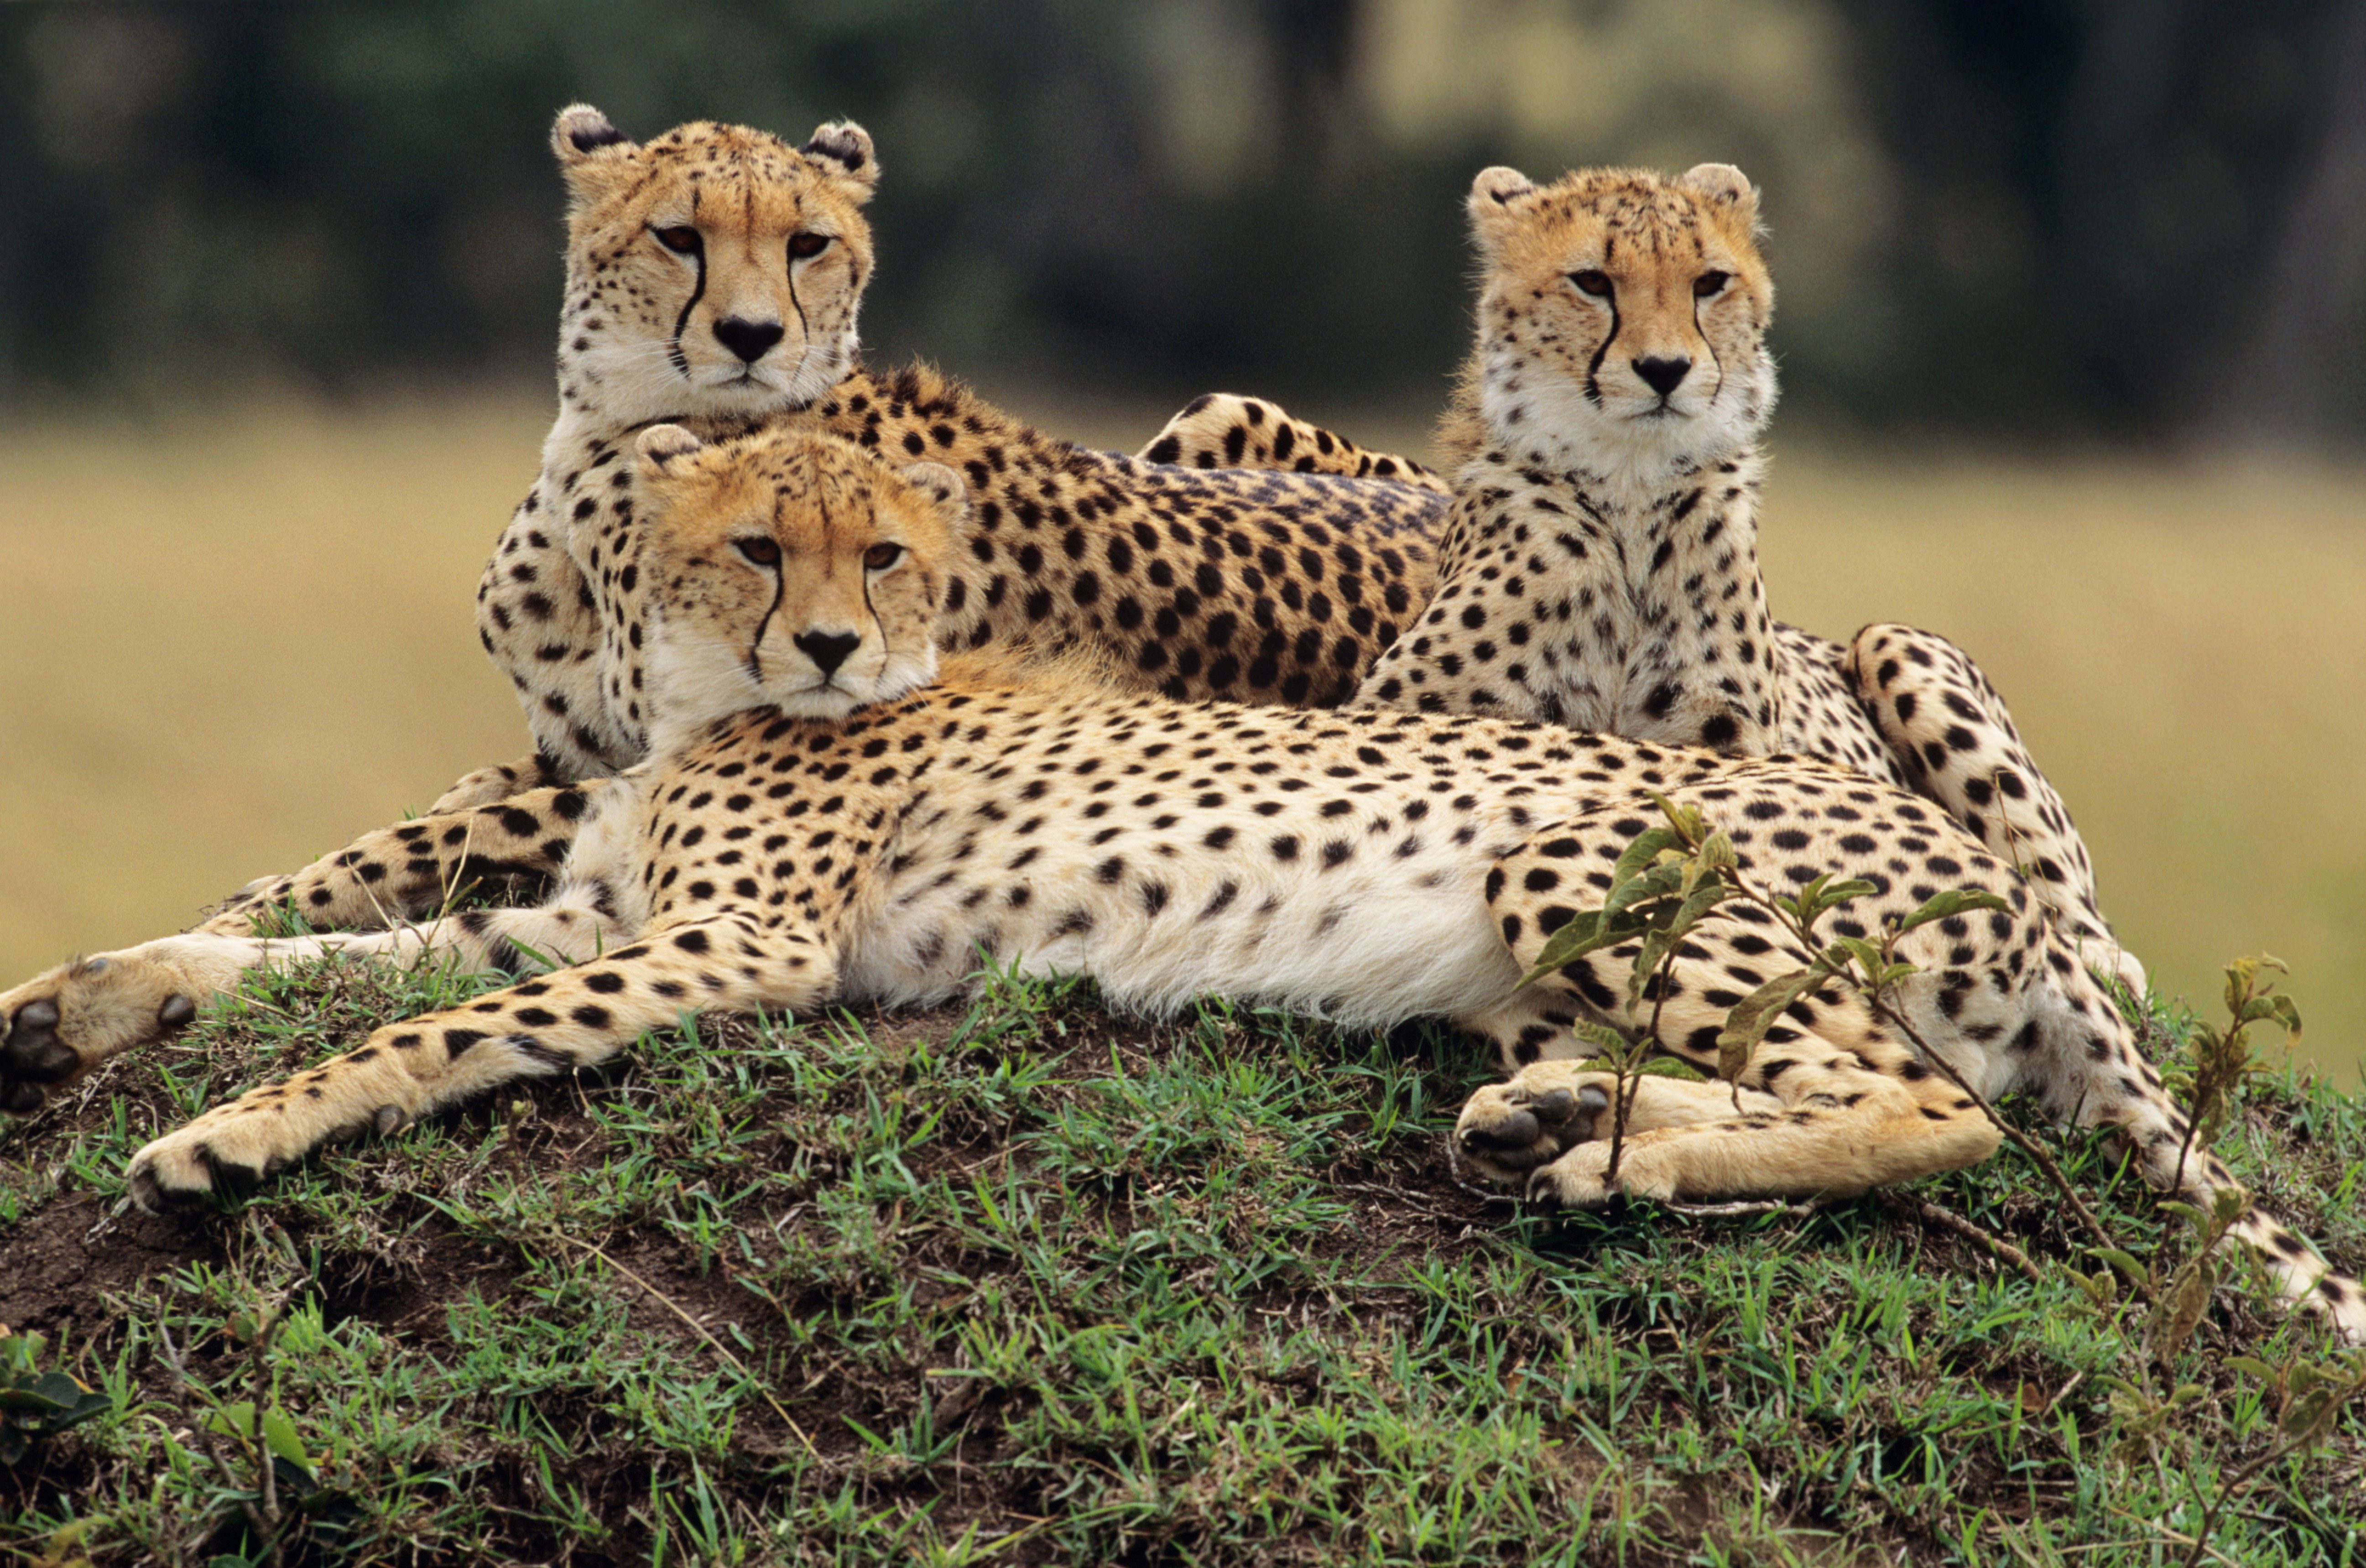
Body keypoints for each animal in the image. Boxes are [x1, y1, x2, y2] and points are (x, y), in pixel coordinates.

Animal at [3, 425, 2352, 1342]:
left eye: (891, 552)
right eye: (763, 542)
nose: (837, 644)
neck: (694, 700)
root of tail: (2011, 885)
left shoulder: (728, 944)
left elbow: (423, 1017)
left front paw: (224, 1138)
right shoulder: (593, 915)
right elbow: (345, 946)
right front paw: (94, 996)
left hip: (1575, 845)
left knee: (1945, 1111)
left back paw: (1611, 1162)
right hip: (1537, 947)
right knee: (1844, 1083)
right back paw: (1548, 1118)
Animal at [1141, 162, 2142, 995]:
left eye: (1708, 282)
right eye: (1592, 281)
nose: (1664, 370)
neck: (1625, 494)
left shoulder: (1728, 748)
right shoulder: (1423, 718)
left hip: (1899, 644)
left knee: (2065, 895)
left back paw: (2094, 957)